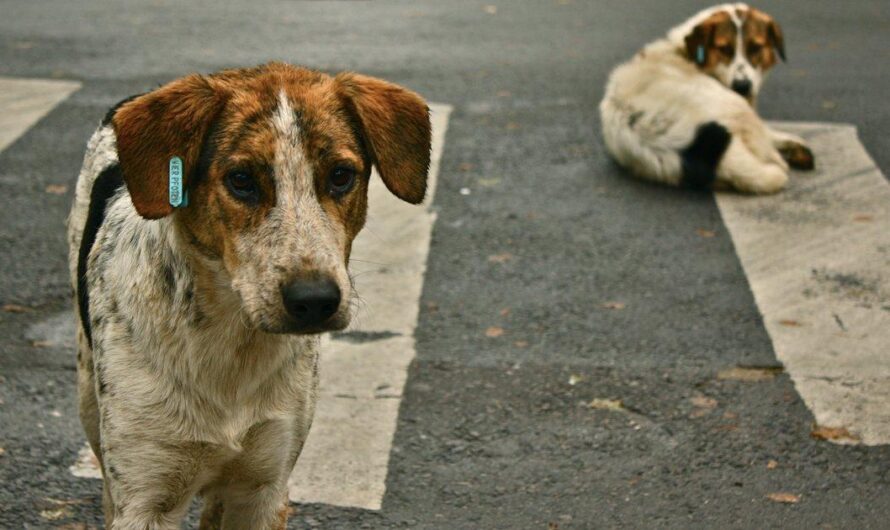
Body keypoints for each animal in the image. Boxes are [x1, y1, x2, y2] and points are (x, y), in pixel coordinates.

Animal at [67, 63, 428, 528]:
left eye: (340, 176)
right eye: (241, 180)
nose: (315, 300)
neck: (231, 344)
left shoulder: (264, 486)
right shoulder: (145, 499)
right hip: (88, 397)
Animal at [596, 3, 812, 193]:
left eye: (755, 48)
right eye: (724, 49)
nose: (742, 86)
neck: (684, 52)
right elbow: (768, 133)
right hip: (735, 106)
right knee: (769, 154)